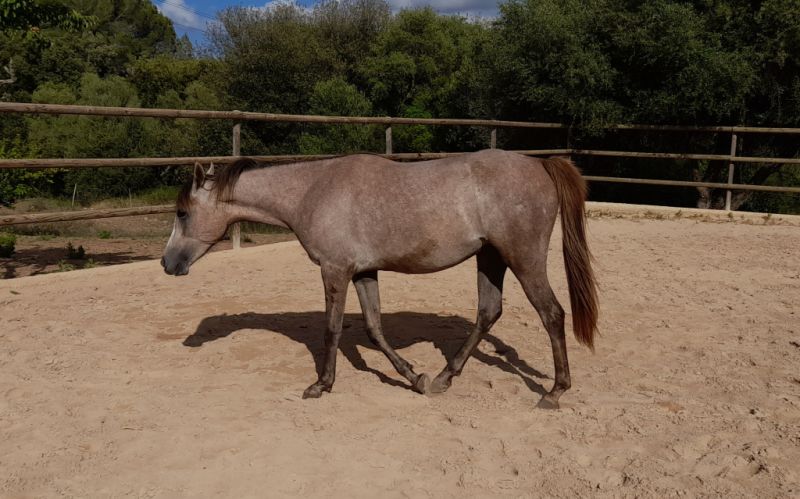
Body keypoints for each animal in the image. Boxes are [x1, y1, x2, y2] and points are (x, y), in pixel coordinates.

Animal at [161, 149, 598, 409]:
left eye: (182, 213)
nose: (167, 263)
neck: (312, 191)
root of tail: (539, 163)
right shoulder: (363, 272)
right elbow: (373, 328)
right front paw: (415, 377)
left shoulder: (334, 270)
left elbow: (332, 329)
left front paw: (321, 385)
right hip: (490, 258)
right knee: (488, 313)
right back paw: (443, 378)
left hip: (523, 259)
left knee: (552, 314)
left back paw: (555, 392)